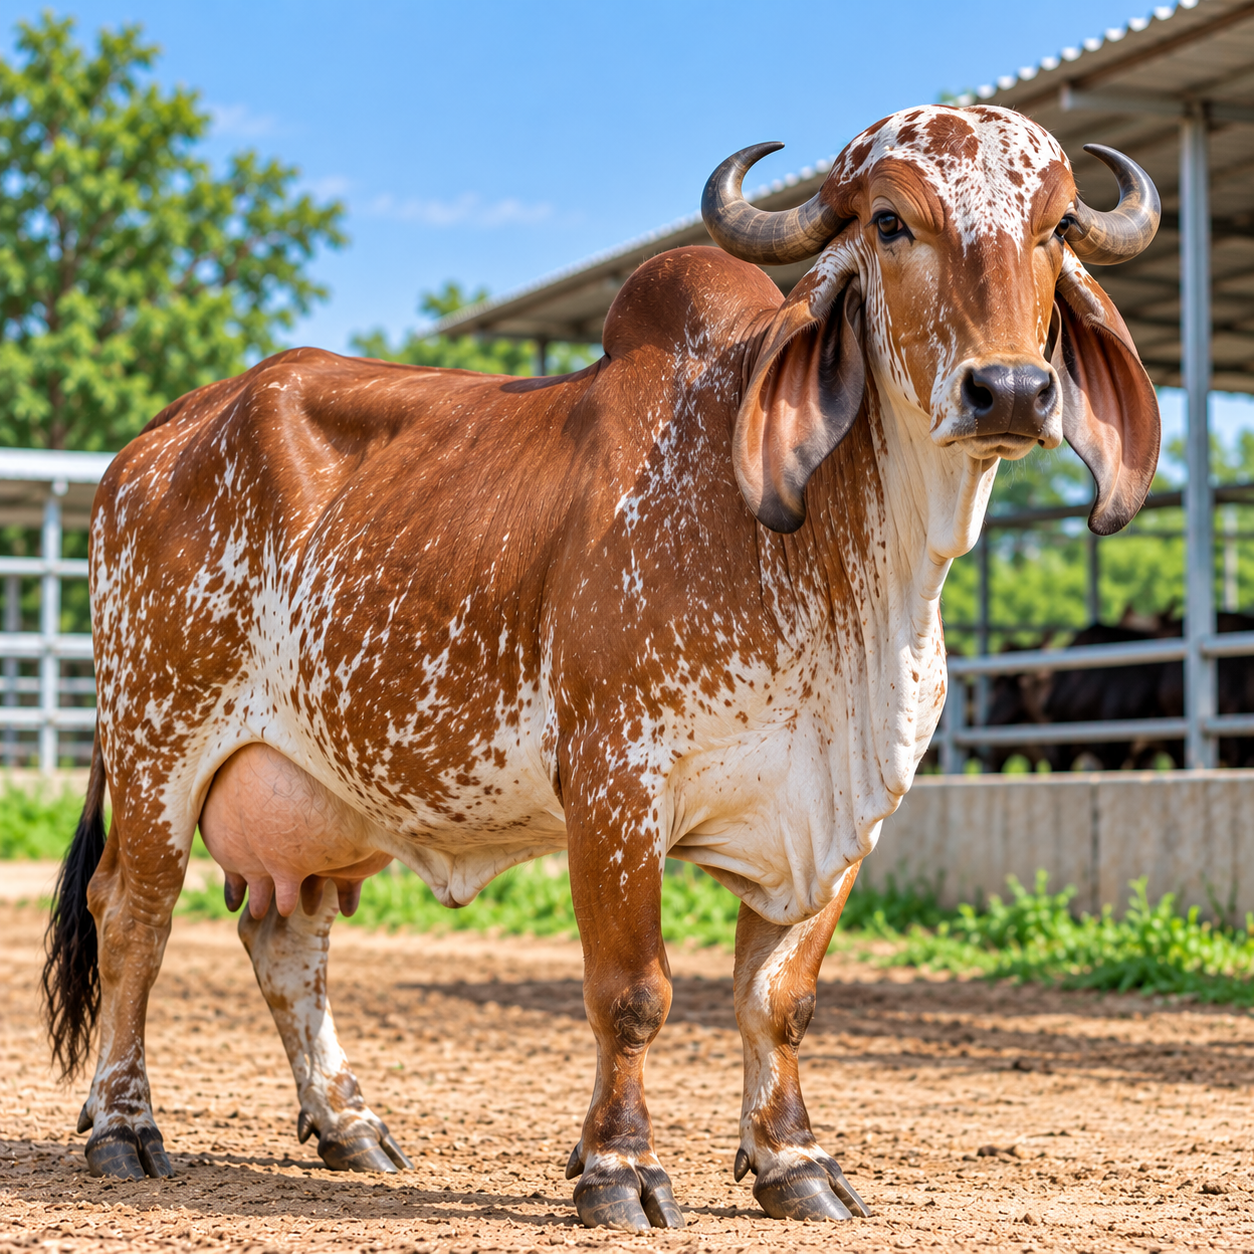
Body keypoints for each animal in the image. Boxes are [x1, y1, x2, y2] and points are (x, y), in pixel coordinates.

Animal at [43, 104, 1161, 1231]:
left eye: (1058, 227)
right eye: (891, 222)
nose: (1010, 388)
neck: (839, 576)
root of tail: (162, 434)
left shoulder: (842, 816)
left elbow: (779, 999)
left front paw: (793, 1160)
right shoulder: (616, 787)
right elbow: (633, 995)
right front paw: (619, 1167)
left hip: (315, 795)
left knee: (284, 939)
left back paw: (350, 1124)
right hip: (157, 745)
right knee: (132, 917)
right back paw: (125, 1128)